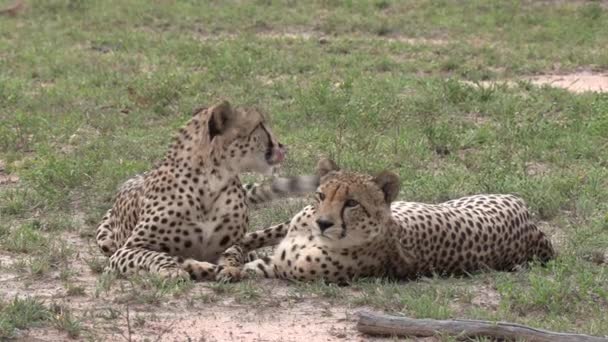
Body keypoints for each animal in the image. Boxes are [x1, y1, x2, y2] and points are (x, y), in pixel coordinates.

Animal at [95, 99, 318, 280]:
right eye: (260, 125)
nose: (282, 145)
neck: (211, 184)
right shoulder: (124, 251)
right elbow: (158, 255)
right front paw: (176, 270)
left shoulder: (232, 244)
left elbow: (233, 253)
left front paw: (229, 268)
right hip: (104, 239)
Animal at [238, 158, 556, 284]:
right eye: (321, 195)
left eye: (352, 203)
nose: (324, 223)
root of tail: (534, 229)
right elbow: (247, 241)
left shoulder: (278, 266)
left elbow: (241, 266)